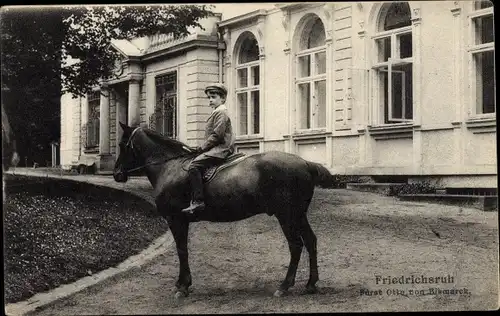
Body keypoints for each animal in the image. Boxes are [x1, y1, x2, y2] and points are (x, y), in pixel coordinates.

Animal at [113, 122, 332, 300]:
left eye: (123, 145)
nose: (116, 174)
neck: (169, 166)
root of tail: (305, 163)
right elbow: (183, 250)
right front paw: (183, 284)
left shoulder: (176, 219)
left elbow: (182, 250)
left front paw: (182, 286)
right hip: (298, 214)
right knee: (310, 241)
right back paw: (311, 284)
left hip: (286, 215)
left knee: (296, 245)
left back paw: (284, 286)